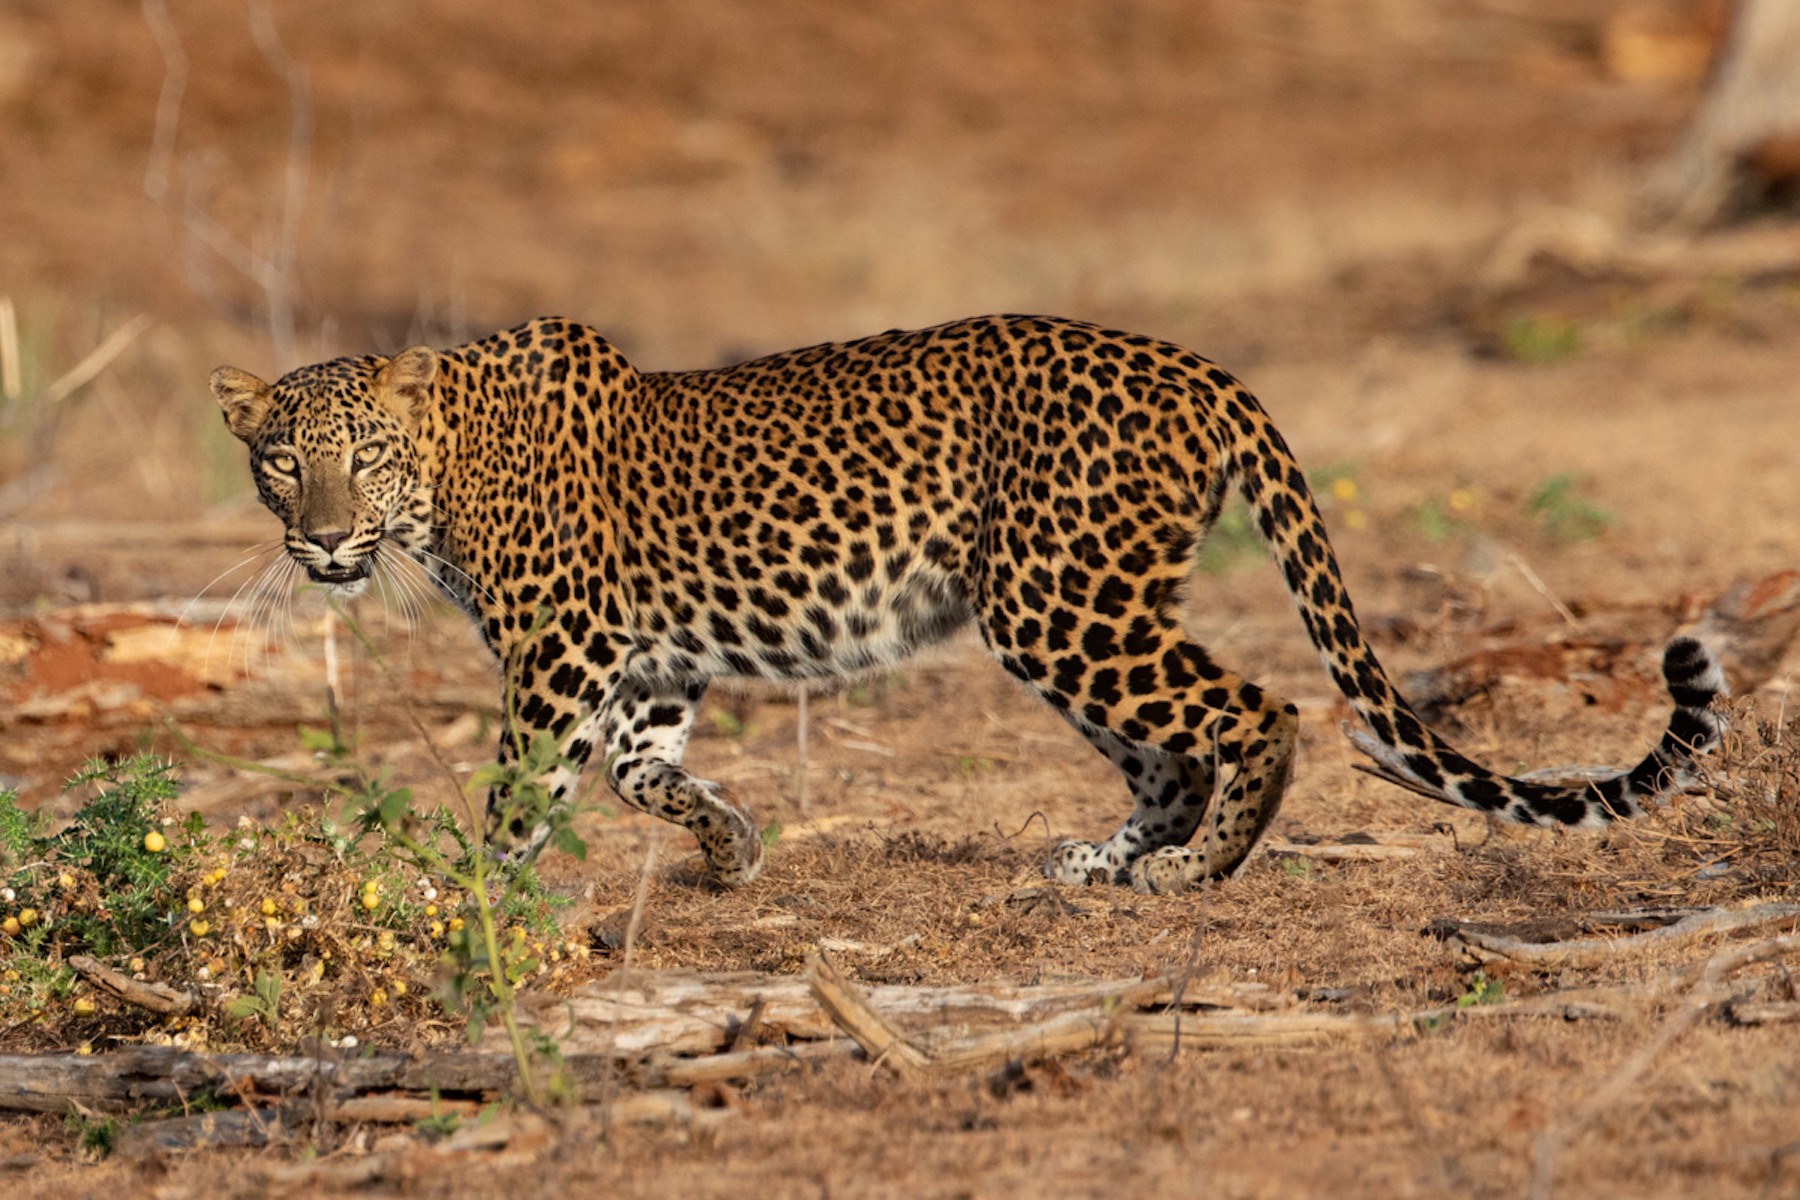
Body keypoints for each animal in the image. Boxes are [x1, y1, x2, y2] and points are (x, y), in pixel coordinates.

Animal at [210, 314, 1728, 895]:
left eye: (365, 456)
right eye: (283, 459)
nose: (324, 537)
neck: (451, 470)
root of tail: (1200, 367)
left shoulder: (559, 649)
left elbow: (526, 786)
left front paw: (461, 895)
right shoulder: (643, 661)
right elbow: (644, 771)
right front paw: (730, 851)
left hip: (1060, 601)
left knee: (1259, 708)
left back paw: (1198, 870)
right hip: (1073, 605)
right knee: (1171, 749)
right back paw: (1106, 861)